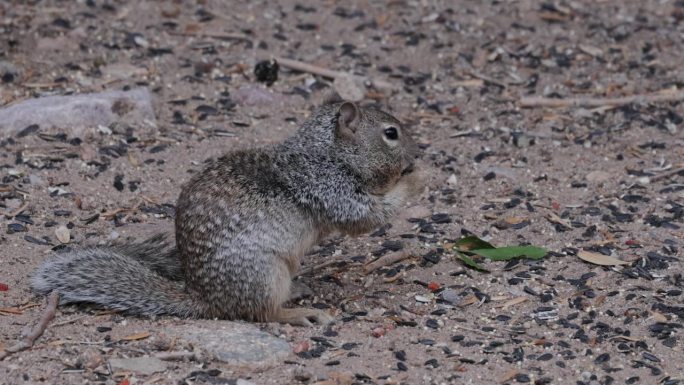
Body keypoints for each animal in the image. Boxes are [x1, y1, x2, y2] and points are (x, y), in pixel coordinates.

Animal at [30, 93, 422, 324]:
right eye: (391, 133)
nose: (416, 154)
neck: (327, 152)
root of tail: (206, 300)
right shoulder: (329, 187)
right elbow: (365, 216)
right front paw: (415, 181)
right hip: (263, 274)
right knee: (262, 313)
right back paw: (299, 312)